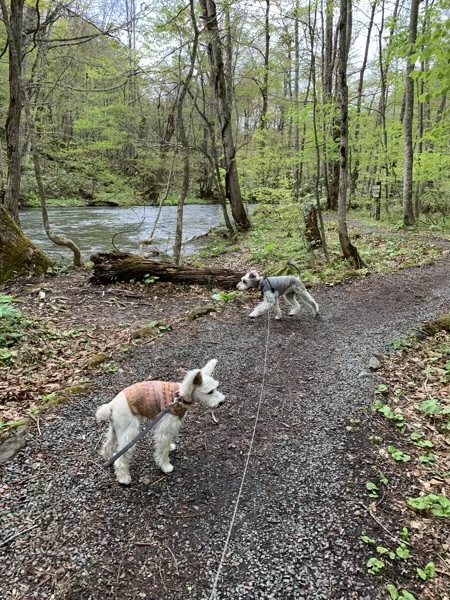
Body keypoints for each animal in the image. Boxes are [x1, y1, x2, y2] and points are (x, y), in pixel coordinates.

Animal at [96, 359, 225, 485]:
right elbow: (162, 450)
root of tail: (111, 406)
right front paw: (165, 466)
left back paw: (109, 458)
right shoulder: (164, 430)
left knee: (108, 446)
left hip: (116, 430)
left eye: (216, 388)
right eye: (210, 391)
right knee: (120, 459)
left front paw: (170, 447)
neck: (180, 397)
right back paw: (123, 478)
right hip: (128, 433)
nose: (222, 402)